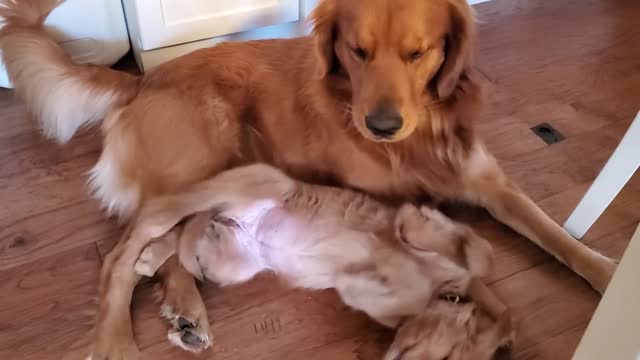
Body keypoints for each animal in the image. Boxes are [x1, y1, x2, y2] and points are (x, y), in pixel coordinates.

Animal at [132, 165, 512, 358]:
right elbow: (478, 254)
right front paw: (428, 227)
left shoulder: (374, 299)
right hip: (262, 181)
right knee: (176, 210)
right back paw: (150, 237)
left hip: (230, 260)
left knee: (191, 226)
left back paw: (153, 259)